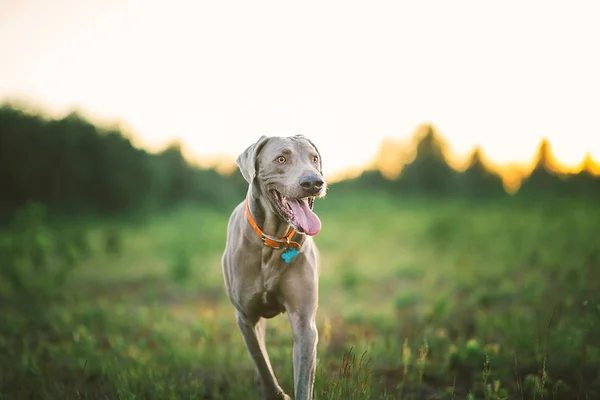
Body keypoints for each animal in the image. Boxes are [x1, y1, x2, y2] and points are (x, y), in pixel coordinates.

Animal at [220, 135, 326, 400]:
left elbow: (303, 380)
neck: (274, 240)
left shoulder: (304, 321)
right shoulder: (245, 317)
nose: (314, 182)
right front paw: (274, 392)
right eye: (281, 159)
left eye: (314, 158)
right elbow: (261, 361)